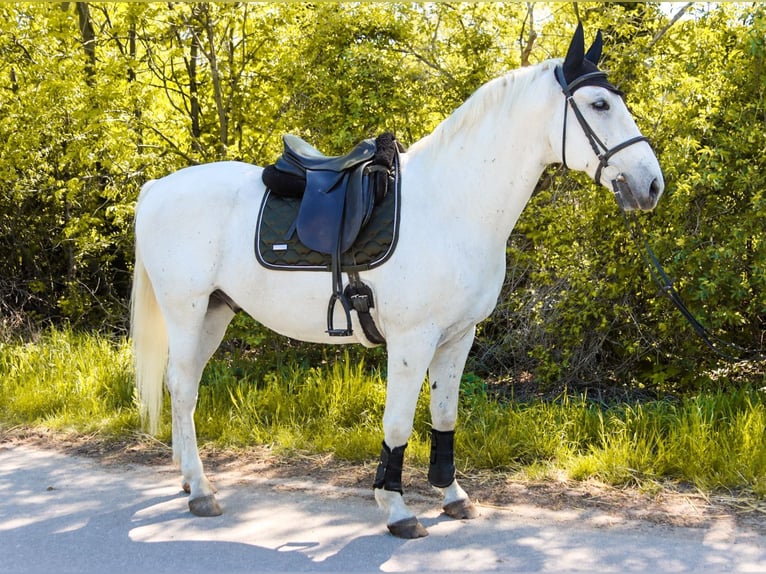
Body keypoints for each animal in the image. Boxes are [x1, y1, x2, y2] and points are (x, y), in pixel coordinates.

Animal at [130, 24, 664, 539]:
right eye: (599, 104)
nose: (652, 185)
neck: (452, 203)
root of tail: (157, 187)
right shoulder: (413, 339)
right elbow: (399, 421)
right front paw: (396, 508)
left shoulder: (458, 337)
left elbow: (444, 415)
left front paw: (453, 496)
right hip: (186, 310)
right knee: (182, 386)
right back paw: (201, 490)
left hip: (215, 311)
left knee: (184, 386)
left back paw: (188, 479)